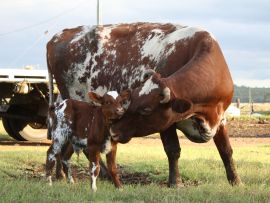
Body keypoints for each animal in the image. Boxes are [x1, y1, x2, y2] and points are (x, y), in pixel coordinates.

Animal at [47, 22, 242, 187]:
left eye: (145, 109)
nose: (114, 131)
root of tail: (59, 35)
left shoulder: (220, 118)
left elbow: (226, 150)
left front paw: (235, 181)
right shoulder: (167, 123)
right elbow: (173, 150)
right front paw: (175, 182)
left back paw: (61, 175)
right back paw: (101, 175)